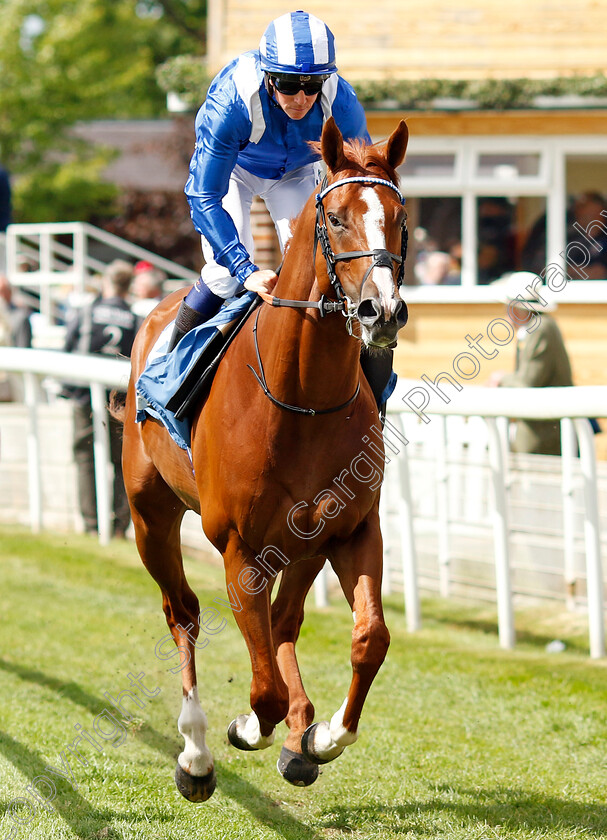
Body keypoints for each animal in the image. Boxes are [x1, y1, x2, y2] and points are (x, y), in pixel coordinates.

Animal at [120, 116, 408, 796]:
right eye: (337, 219)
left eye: (400, 217)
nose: (382, 311)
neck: (304, 398)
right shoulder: (239, 548)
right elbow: (262, 690)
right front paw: (247, 728)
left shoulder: (350, 529)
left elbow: (369, 638)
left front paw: (323, 736)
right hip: (150, 518)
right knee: (182, 613)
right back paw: (196, 751)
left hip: (303, 543)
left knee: (284, 621)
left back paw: (300, 738)